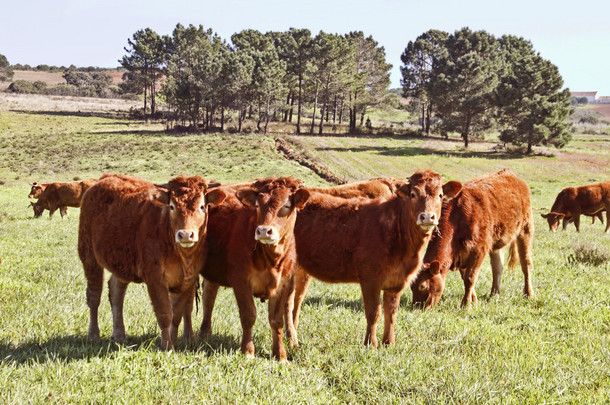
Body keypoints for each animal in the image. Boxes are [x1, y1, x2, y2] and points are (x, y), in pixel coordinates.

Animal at [78, 172, 226, 348]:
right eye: (172, 206)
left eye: (202, 206)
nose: (185, 235)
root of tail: (104, 178)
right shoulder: (155, 279)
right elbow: (165, 314)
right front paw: (167, 345)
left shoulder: (187, 280)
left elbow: (179, 313)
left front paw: (177, 340)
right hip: (89, 257)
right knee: (94, 296)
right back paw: (93, 334)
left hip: (121, 265)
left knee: (116, 293)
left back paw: (119, 335)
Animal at [197, 177, 308, 360]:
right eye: (257, 205)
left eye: (286, 205)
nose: (263, 230)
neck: (271, 259)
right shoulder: (241, 280)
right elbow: (249, 315)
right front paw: (248, 351)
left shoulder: (283, 284)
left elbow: (276, 320)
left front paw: (280, 355)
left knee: (209, 295)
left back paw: (205, 333)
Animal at [284, 169, 460, 346]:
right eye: (413, 194)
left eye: (440, 195)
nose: (427, 217)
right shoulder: (370, 278)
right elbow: (374, 312)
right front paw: (371, 343)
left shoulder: (396, 281)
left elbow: (391, 313)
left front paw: (389, 343)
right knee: (288, 302)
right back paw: (292, 340)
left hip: (301, 270)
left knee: (296, 301)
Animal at [408, 169, 532, 308]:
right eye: (411, 286)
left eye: (423, 286)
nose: (416, 308)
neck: (456, 218)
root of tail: (509, 173)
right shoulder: (460, 254)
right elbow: (465, 277)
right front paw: (474, 300)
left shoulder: (479, 250)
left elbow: (470, 278)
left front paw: (466, 304)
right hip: (496, 242)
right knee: (497, 267)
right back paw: (494, 294)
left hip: (526, 229)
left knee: (526, 263)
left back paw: (529, 294)